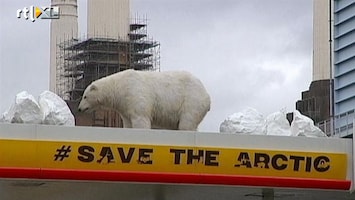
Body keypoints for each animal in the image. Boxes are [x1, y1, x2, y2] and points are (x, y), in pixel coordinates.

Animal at [78, 69, 211, 130]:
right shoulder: (125, 105)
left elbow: (141, 118)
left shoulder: (135, 93)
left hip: (191, 101)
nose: (79, 108)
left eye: (85, 96)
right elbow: (127, 122)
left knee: (186, 123)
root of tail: (207, 95)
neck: (120, 86)